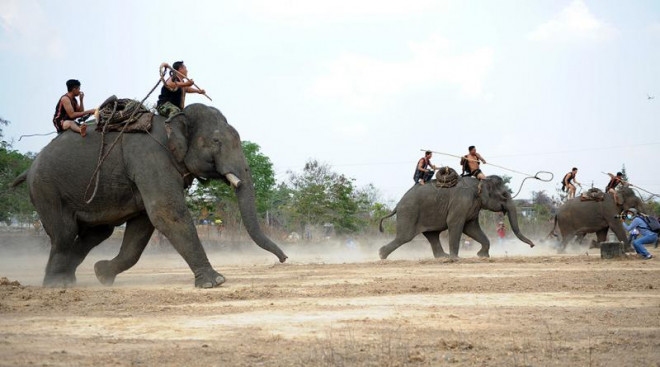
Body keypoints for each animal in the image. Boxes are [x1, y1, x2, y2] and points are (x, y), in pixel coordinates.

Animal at [12, 103, 286, 288]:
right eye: (216, 142)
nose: (284, 259)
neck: (172, 120)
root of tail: (30, 167)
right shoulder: (150, 158)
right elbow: (166, 213)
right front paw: (215, 282)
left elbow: (143, 225)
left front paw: (103, 274)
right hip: (47, 188)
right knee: (65, 233)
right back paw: (57, 284)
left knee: (97, 233)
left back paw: (69, 279)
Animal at [376, 175, 536, 258]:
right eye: (504, 195)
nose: (533, 245)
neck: (480, 182)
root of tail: (397, 204)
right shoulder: (461, 202)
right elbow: (456, 224)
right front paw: (457, 258)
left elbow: (471, 228)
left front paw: (482, 256)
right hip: (409, 212)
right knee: (405, 237)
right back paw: (381, 255)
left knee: (432, 235)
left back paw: (443, 257)